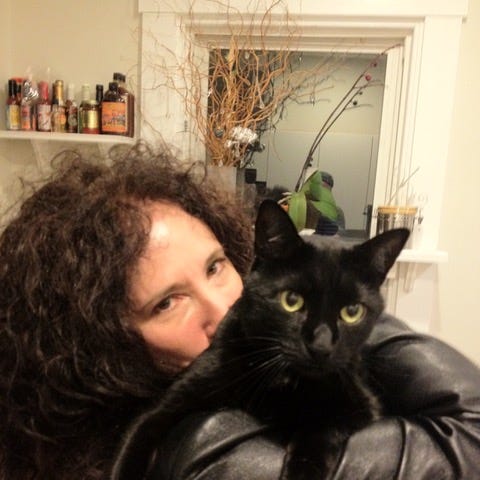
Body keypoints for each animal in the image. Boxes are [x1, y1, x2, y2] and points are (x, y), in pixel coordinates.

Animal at [111, 200, 408, 480]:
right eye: (291, 300)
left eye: (352, 311)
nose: (321, 346)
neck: (284, 381)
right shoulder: (164, 408)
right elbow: (135, 442)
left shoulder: (362, 406)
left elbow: (323, 425)